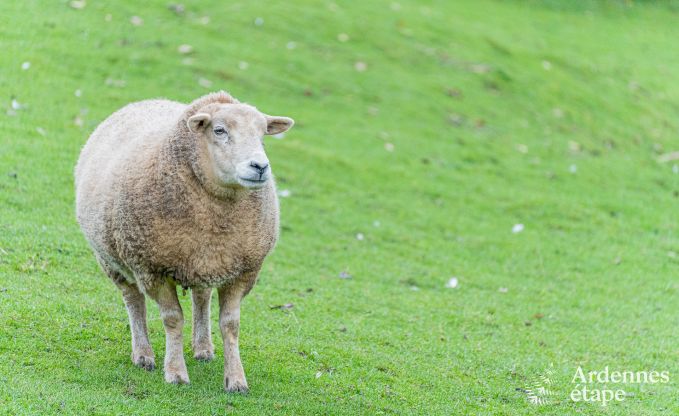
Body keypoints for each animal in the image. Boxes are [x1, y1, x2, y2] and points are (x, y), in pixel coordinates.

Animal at [75, 89, 294, 392]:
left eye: (263, 135)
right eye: (219, 130)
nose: (260, 166)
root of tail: (145, 101)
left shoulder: (244, 270)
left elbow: (231, 324)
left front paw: (236, 379)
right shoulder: (152, 269)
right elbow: (172, 319)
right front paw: (175, 372)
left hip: (204, 262)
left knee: (201, 297)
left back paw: (203, 347)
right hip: (112, 260)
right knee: (133, 300)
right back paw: (143, 354)